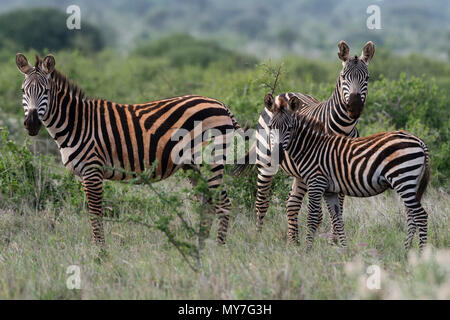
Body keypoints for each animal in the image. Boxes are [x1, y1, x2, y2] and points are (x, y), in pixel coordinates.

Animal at [15, 53, 243, 246]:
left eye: (46, 91)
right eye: (23, 91)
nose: (31, 124)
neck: (77, 123)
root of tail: (221, 104)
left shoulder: (92, 170)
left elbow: (95, 214)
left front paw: (100, 254)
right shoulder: (83, 174)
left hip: (210, 161)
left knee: (222, 204)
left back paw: (217, 251)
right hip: (193, 166)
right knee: (209, 204)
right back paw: (200, 246)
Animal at [234, 40, 374, 242]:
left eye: (367, 78)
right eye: (343, 77)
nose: (354, 107)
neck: (343, 129)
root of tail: (284, 94)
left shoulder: (341, 171)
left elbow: (338, 207)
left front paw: (334, 241)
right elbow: (325, 210)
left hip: (299, 173)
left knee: (291, 202)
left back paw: (294, 241)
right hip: (266, 161)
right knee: (262, 201)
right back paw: (259, 237)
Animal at [268, 95, 430, 250]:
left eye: (289, 128)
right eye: (270, 127)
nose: (278, 154)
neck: (310, 148)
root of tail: (419, 140)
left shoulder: (316, 183)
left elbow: (312, 218)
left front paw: (307, 250)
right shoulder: (329, 191)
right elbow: (337, 219)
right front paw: (344, 250)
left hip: (403, 178)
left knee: (420, 215)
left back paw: (421, 252)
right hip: (410, 182)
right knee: (411, 215)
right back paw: (407, 249)